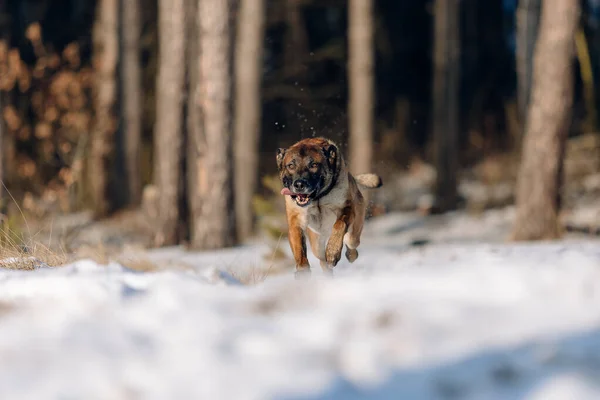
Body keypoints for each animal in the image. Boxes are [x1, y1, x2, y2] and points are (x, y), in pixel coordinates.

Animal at [278, 136, 382, 276]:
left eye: (313, 165)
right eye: (291, 165)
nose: (299, 184)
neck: (318, 198)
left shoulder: (345, 208)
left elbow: (339, 225)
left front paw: (333, 252)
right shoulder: (296, 219)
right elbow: (299, 248)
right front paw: (302, 270)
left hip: (355, 230)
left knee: (351, 242)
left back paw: (349, 254)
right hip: (317, 244)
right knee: (323, 261)